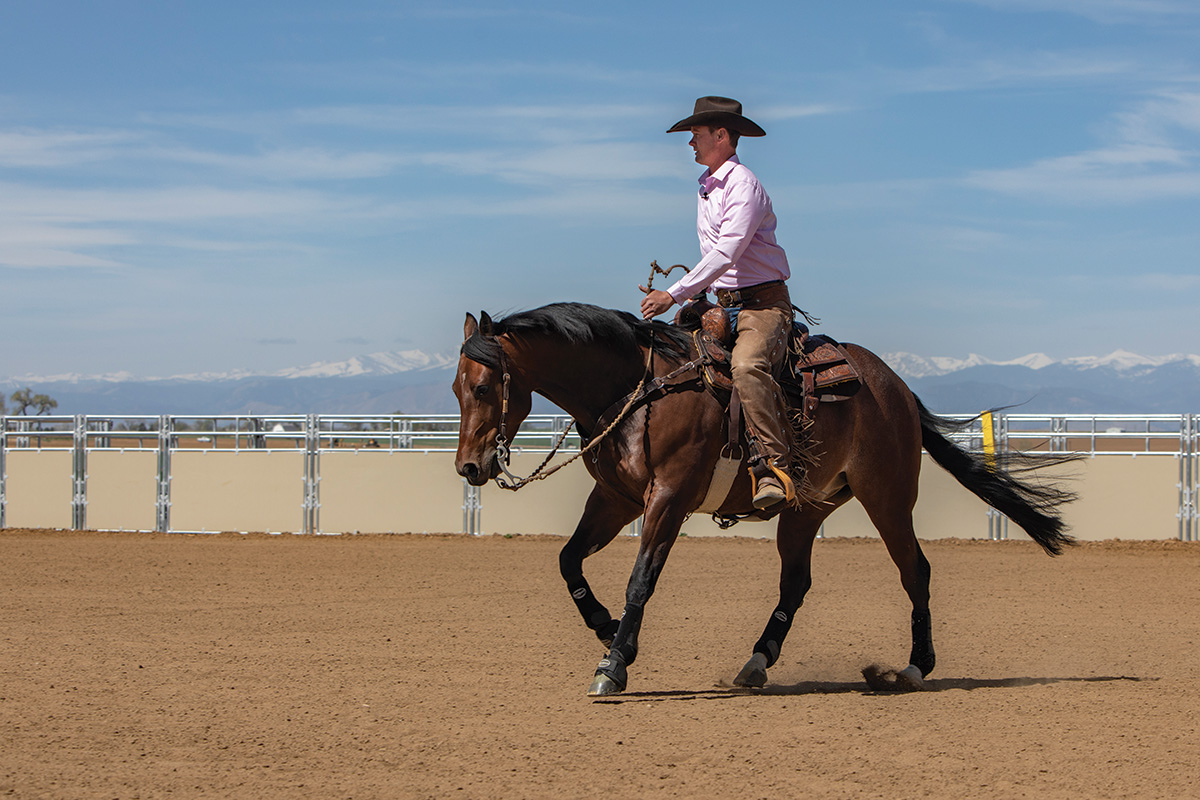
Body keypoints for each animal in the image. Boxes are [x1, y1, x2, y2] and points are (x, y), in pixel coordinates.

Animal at [453, 303, 1075, 695]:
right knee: (795, 582)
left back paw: (915, 668)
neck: (639, 389)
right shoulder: (616, 499)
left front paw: (614, 663)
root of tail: (895, 385)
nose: (469, 467)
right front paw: (608, 630)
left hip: (889, 498)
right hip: (808, 508)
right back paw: (757, 660)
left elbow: (640, 580)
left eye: (483, 386)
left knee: (914, 571)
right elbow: (568, 560)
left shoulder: (668, 499)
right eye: (457, 388)